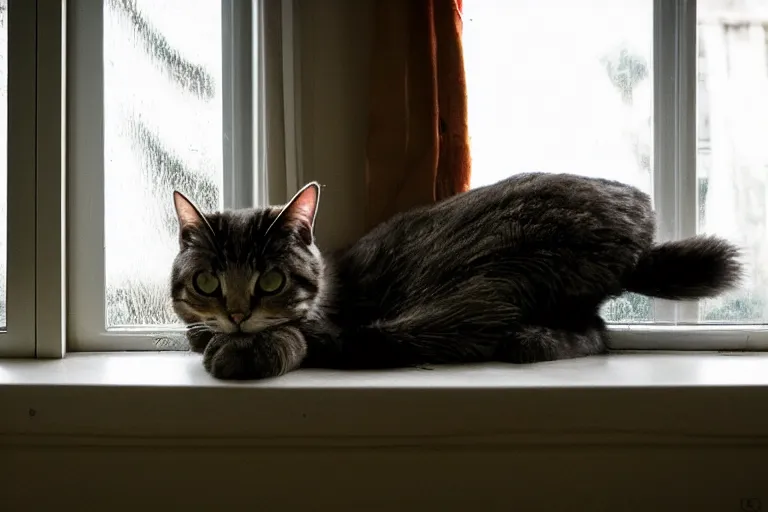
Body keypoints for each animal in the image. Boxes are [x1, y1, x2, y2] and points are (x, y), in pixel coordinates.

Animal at [171, 174, 740, 378]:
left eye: (271, 281)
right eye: (207, 282)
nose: (236, 314)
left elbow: (293, 332)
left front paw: (249, 349)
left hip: (481, 278)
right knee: (597, 333)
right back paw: (537, 339)